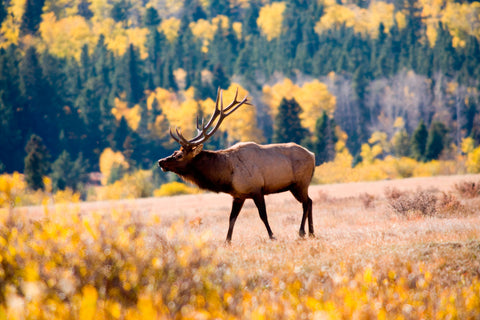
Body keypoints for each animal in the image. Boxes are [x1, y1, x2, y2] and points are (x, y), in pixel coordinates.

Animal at [158, 88, 316, 242]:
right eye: (175, 151)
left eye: (179, 155)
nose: (161, 161)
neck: (227, 176)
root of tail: (313, 155)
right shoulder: (238, 195)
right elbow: (232, 218)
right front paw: (227, 241)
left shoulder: (256, 189)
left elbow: (263, 215)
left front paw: (272, 236)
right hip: (297, 186)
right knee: (309, 201)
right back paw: (311, 233)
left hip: (300, 183)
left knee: (306, 203)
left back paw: (302, 232)